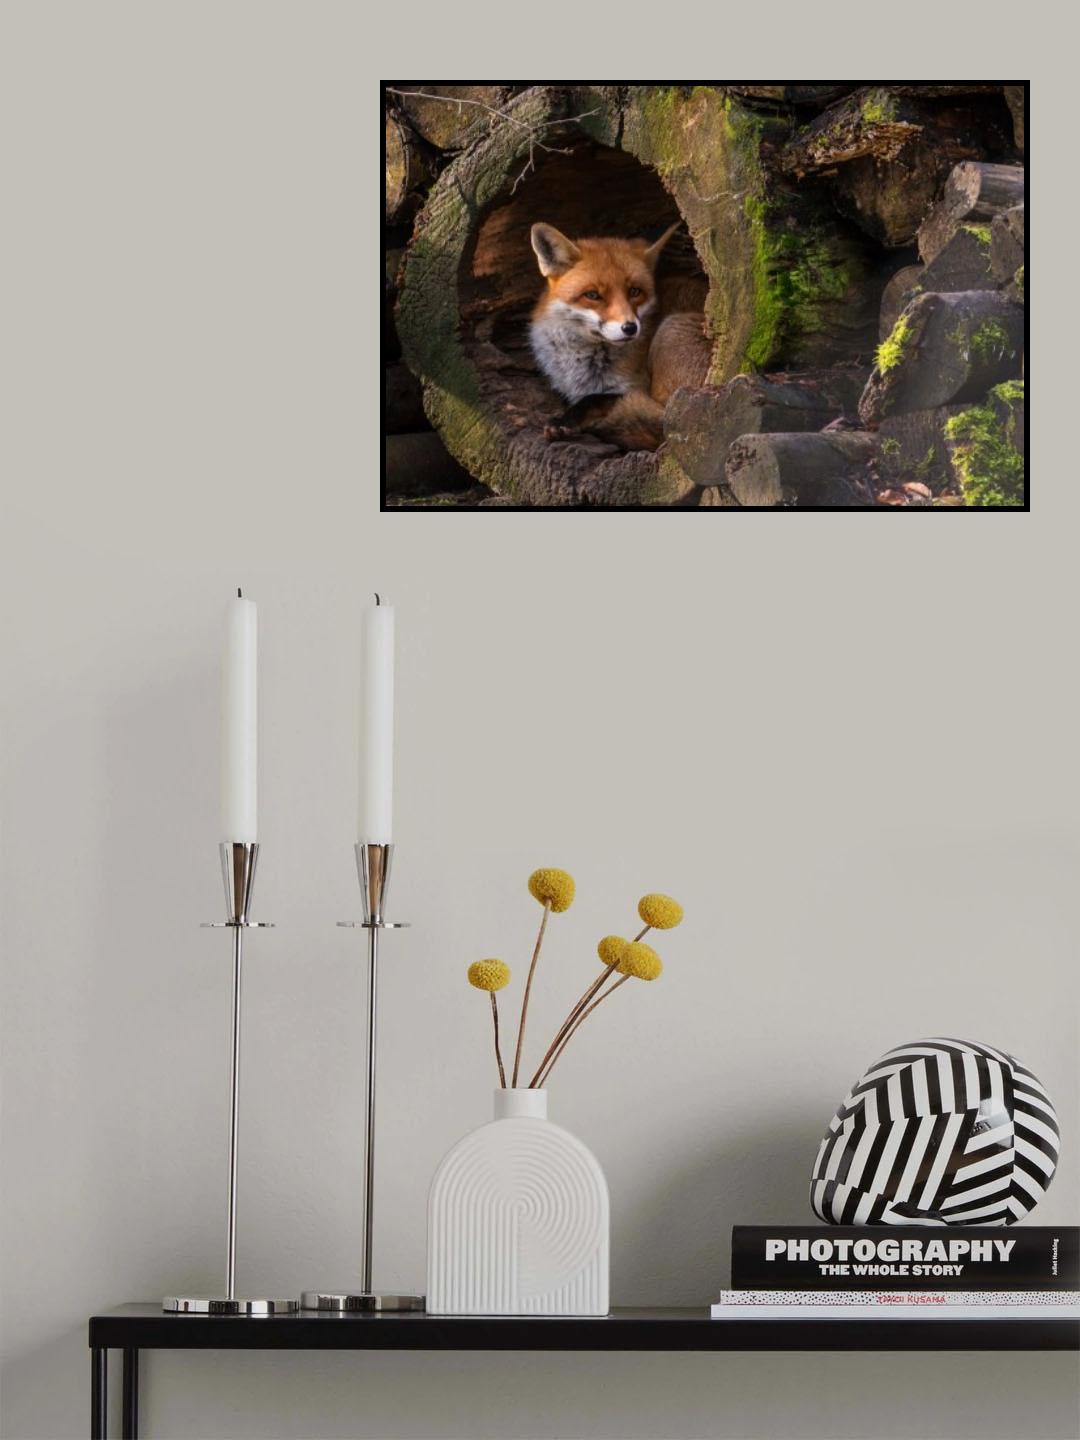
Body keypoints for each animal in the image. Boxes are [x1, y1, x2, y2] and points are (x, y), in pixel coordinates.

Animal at [528, 220, 711, 451]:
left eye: (634, 291)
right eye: (592, 295)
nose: (630, 328)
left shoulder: (634, 387)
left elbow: (593, 399)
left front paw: (564, 421)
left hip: (671, 334)